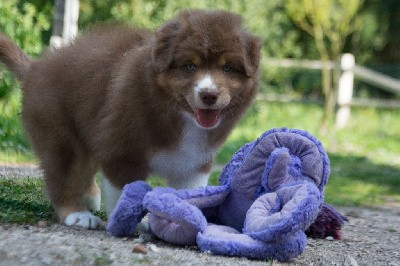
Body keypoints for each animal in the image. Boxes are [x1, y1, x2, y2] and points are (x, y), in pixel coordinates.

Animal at [0, 9, 260, 229]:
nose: (209, 95)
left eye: (227, 68)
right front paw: (129, 222)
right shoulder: (121, 151)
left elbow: (191, 192)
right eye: (189, 66)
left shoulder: (194, 162)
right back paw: (77, 214)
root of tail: (34, 69)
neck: (175, 112)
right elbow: (123, 192)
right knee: (64, 177)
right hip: (60, 135)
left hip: (88, 131)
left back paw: (90, 197)